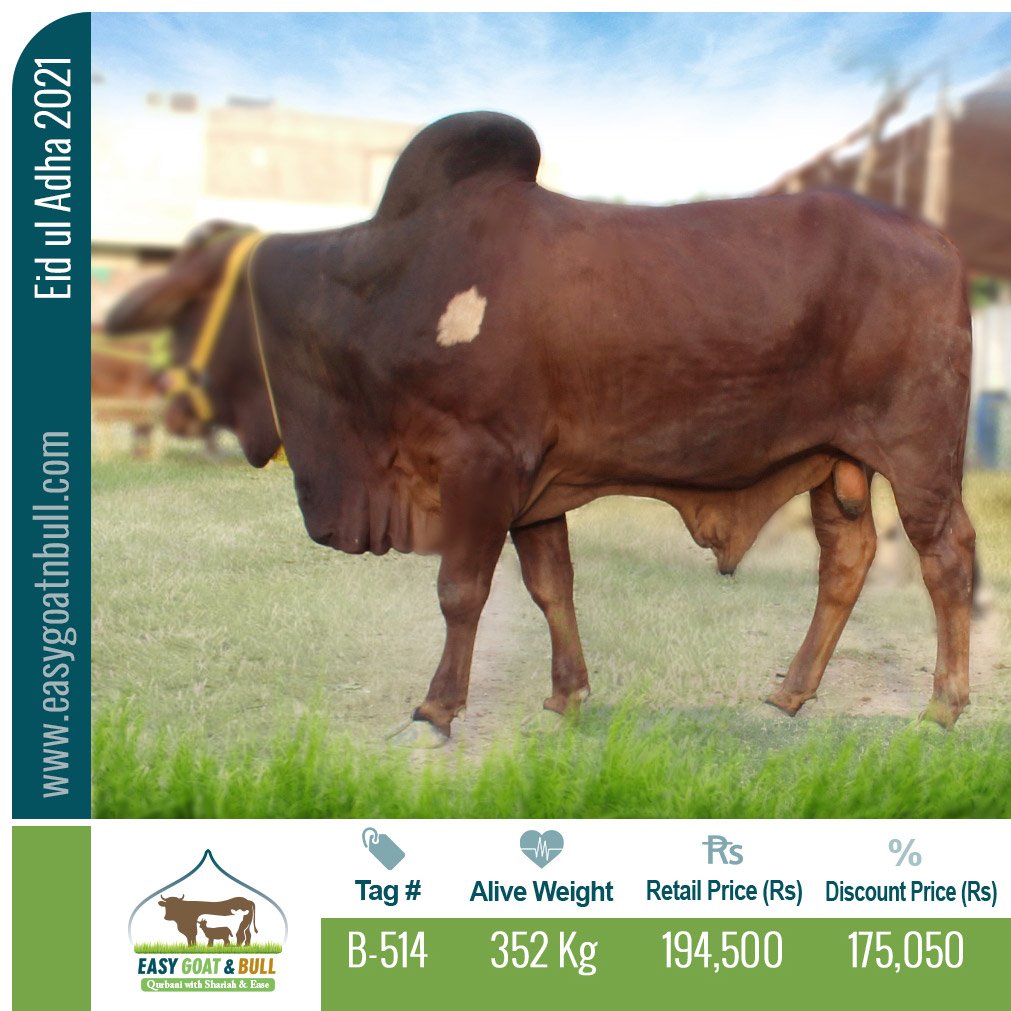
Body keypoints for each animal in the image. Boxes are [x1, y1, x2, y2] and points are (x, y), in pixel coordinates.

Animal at [107, 111, 975, 745]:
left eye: (188, 305)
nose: (165, 395)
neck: (379, 285)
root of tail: (936, 238)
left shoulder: (482, 463)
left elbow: (460, 590)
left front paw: (437, 707)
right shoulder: (537, 490)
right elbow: (551, 586)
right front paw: (567, 695)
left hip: (919, 457)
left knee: (946, 559)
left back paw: (943, 704)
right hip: (837, 462)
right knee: (846, 560)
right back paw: (792, 692)